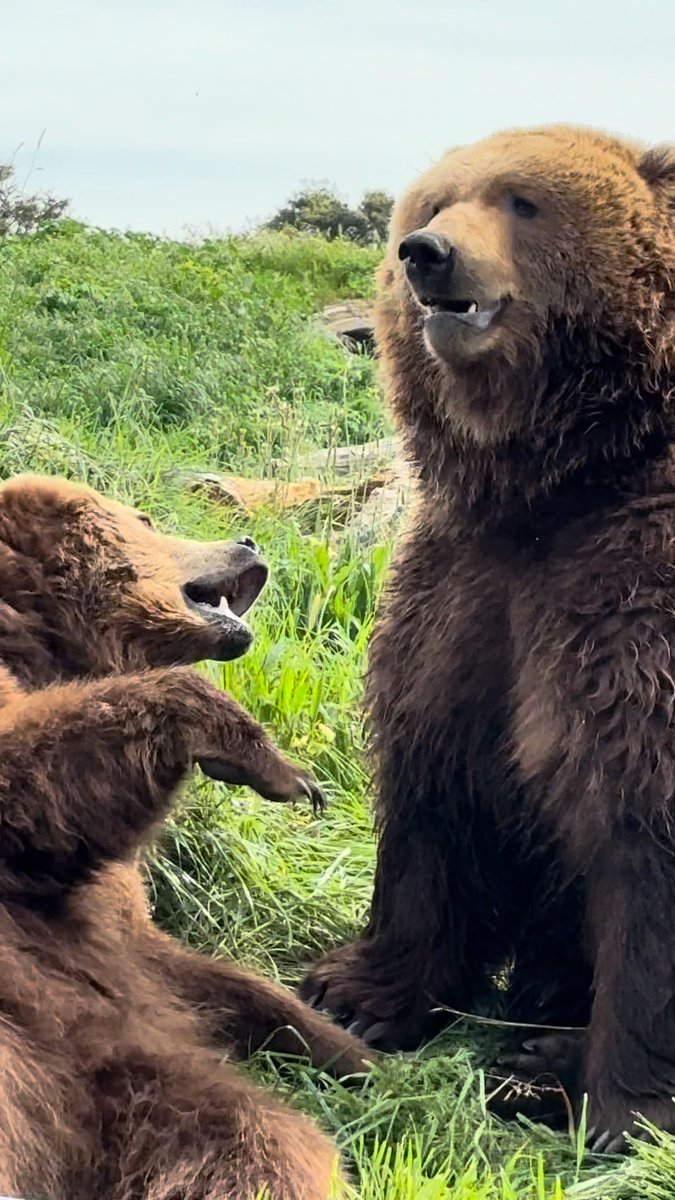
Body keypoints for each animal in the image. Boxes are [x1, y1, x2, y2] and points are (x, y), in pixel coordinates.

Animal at [0, 473, 370, 1200]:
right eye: (142, 517)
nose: (248, 538)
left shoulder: (107, 935)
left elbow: (187, 966)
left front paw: (356, 1047)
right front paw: (265, 757)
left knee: (251, 1144)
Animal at [300, 125, 675, 1153]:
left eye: (523, 202)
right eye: (435, 202)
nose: (424, 255)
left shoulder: (631, 600)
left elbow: (639, 827)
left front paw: (625, 1115)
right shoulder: (464, 590)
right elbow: (437, 778)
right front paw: (353, 991)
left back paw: (543, 1063)